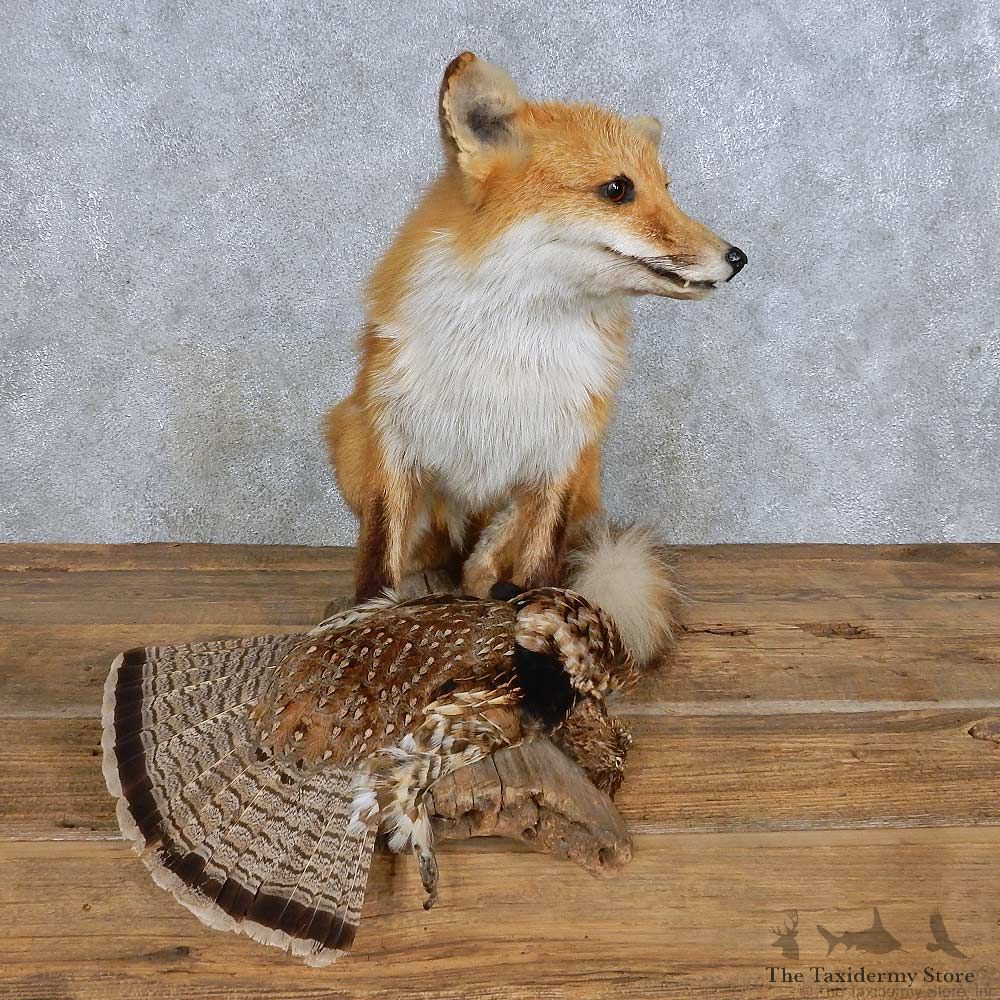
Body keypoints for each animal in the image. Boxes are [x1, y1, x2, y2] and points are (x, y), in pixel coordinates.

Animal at [327, 52, 745, 659]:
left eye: (668, 189)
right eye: (618, 189)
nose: (737, 257)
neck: (512, 345)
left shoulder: (564, 448)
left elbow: (539, 557)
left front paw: (543, 618)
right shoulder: (393, 433)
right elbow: (380, 552)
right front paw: (367, 617)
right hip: (345, 433)